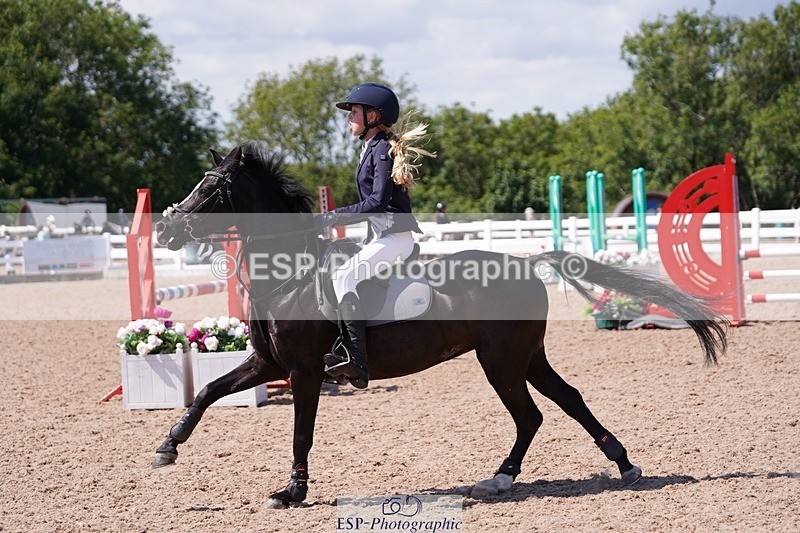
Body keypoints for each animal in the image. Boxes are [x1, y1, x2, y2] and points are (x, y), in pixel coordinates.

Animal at [152, 141, 727, 507]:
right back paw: (616, 465)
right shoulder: (268, 363)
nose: (165, 229)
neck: (288, 272)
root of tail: (527, 262)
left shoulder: (305, 370)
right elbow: (206, 391)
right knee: (565, 401)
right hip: (524, 356)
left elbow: (301, 433)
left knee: (531, 415)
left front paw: (292, 491)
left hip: (500, 359)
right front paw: (167, 447)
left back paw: (504, 479)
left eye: (213, 188)